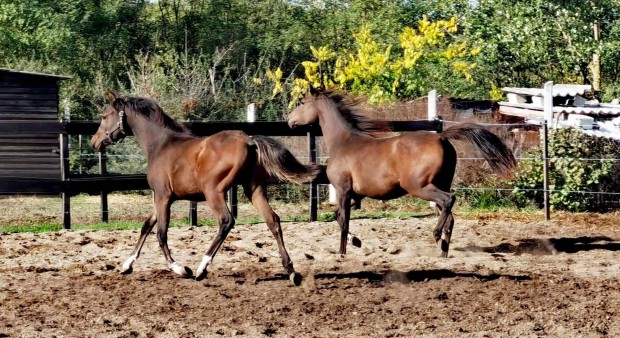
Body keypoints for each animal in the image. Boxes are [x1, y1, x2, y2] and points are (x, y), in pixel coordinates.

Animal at [92, 91, 320, 284]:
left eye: (104, 116)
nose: (94, 142)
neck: (160, 145)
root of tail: (249, 140)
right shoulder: (161, 197)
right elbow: (146, 226)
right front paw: (126, 265)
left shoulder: (163, 196)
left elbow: (161, 234)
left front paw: (181, 269)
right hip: (253, 189)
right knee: (272, 220)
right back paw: (291, 271)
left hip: (214, 192)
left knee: (226, 221)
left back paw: (201, 268)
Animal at [288, 86, 516, 256]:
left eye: (302, 102)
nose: (290, 120)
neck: (344, 142)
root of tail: (441, 137)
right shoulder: (356, 195)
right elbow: (337, 216)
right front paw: (357, 242)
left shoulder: (343, 190)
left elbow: (343, 221)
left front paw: (342, 252)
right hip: (440, 182)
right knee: (450, 217)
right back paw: (443, 251)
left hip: (419, 187)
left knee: (448, 200)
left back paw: (435, 234)